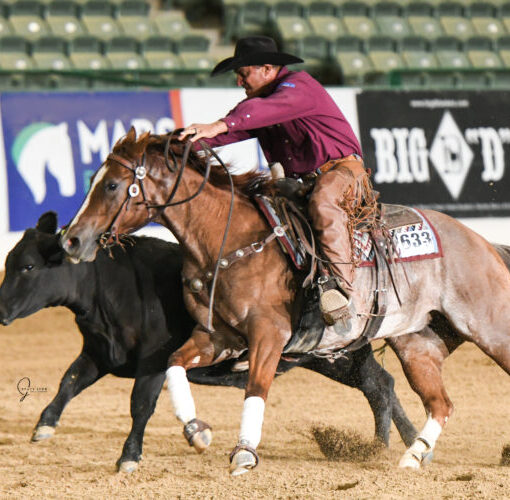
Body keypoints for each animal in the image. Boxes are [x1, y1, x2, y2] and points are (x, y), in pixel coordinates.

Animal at [60, 127, 510, 474]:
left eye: (112, 185)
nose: (72, 240)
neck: (230, 241)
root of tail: (481, 241)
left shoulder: (268, 335)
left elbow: (256, 388)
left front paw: (244, 453)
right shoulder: (218, 337)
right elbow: (173, 365)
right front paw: (197, 431)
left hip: (492, 331)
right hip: (417, 344)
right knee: (440, 404)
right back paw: (413, 457)